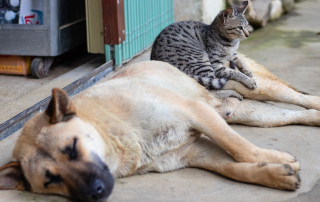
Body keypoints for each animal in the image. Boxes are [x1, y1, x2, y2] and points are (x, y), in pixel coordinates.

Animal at [0, 54, 320, 201]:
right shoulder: (196, 152)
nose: (96, 192)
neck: (113, 128)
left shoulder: (196, 113)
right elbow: (234, 167)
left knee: (302, 99)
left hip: (258, 88)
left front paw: (276, 160)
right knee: (295, 114)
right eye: (50, 180)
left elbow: (239, 147)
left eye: (72, 147)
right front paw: (275, 173)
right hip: (254, 114)